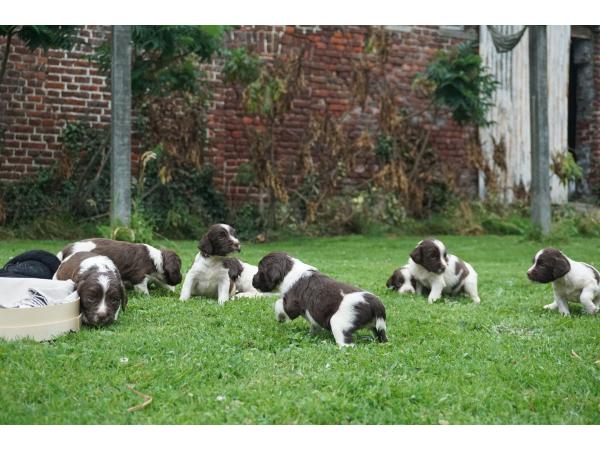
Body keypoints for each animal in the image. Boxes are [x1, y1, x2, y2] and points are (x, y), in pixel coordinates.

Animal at [253, 253, 390, 348]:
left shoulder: (292, 305)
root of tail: (376, 304)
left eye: (260, 270)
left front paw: (280, 317)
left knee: (347, 343)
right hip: (378, 328)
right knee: (382, 337)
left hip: (339, 322)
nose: (253, 280)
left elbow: (278, 303)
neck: (288, 271)